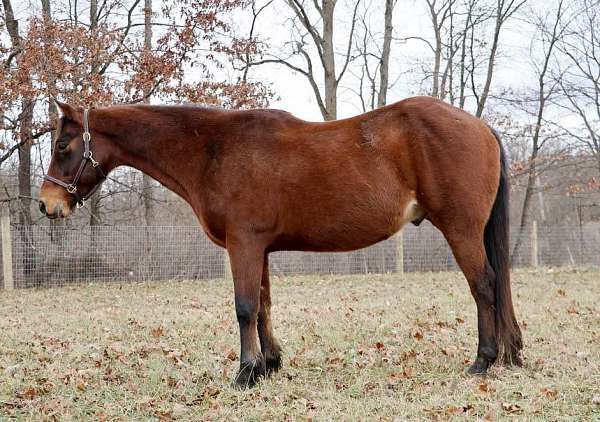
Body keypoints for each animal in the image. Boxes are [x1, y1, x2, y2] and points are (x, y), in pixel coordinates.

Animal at [39, 97, 524, 388]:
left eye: (63, 145)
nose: (47, 205)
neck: (214, 150)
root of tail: (480, 126)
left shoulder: (244, 244)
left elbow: (244, 307)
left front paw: (245, 373)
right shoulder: (260, 248)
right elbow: (264, 305)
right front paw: (269, 365)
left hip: (461, 230)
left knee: (484, 285)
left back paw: (482, 361)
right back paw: (508, 355)